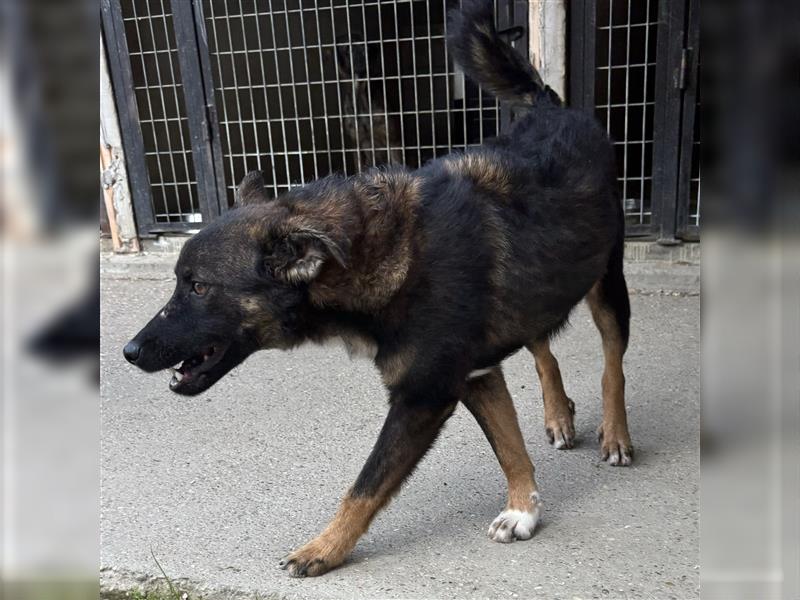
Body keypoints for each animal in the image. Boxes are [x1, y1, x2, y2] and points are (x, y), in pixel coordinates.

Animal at [123, 0, 632, 576]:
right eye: (181, 283)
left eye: (199, 287)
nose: (129, 351)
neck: (375, 256)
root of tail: (551, 108)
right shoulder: (476, 375)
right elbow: (509, 446)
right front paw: (524, 507)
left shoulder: (423, 397)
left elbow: (364, 486)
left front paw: (323, 548)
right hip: (537, 289)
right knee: (543, 347)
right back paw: (558, 415)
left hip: (606, 284)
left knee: (612, 362)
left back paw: (616, 433)